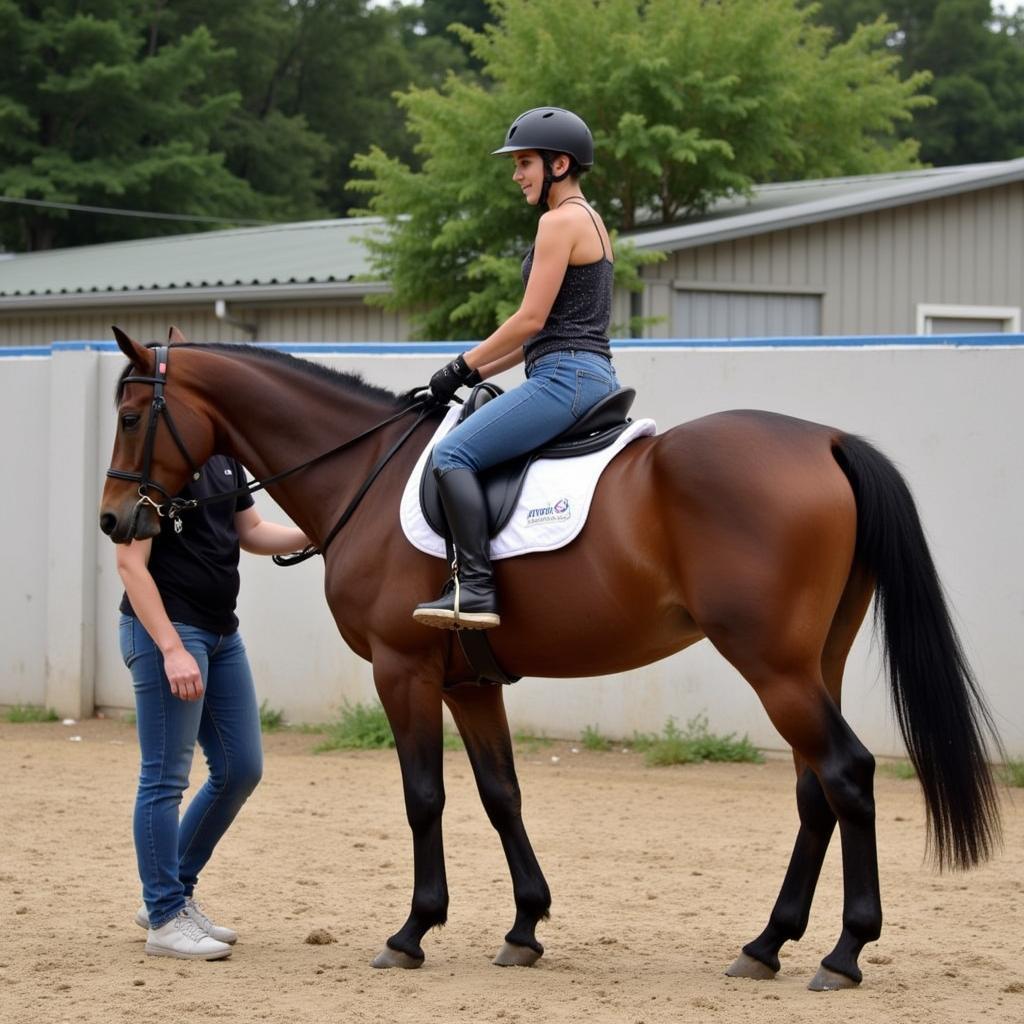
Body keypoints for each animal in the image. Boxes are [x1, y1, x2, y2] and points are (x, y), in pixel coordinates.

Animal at [97, 327, 999, 991]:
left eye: (135, 416)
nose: (113, 521)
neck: (365, 474)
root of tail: (828, 441)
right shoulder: (468, 683)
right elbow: (502, 797)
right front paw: (525, 927)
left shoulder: (403, 672)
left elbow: (424, 799)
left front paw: (412, 931)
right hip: (814, 664)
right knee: (817, 792)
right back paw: (767, 944)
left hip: (774, 667)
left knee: (847, 774)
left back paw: (844, 953)